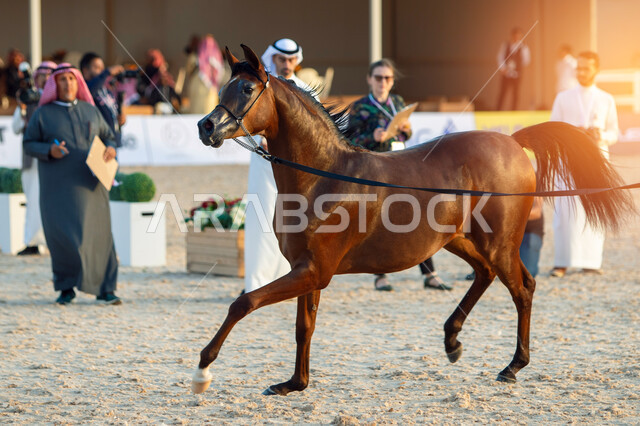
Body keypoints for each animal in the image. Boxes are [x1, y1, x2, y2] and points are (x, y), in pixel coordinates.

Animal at [193, 45, 634, 395]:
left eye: (246, 89)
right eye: (225, 87)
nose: (205, 126)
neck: (324, 176)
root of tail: (511, 140)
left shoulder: (315, 270)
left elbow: (244, 302)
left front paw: (203, 368)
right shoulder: (307, 270)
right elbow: (304, 327)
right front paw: (294, 384)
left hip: (499, 242)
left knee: (522, 287)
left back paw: (512, 366)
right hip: (459, 240)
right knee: (485, 274)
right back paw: (452, 340)